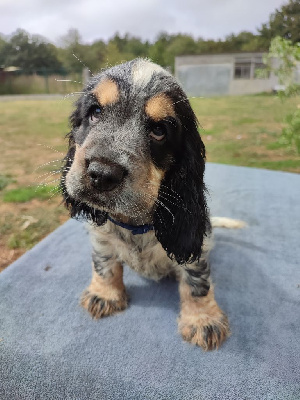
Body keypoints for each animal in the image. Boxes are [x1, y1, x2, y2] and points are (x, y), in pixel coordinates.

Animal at [61, 58, 234, 350]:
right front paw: (104, 295)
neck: (135, 224)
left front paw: (203, 320)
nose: (101, 173)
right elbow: (104, 264)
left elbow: (196, 282)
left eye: (159, 130)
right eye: (95, 112)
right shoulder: (102, 238)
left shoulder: (196, 248)